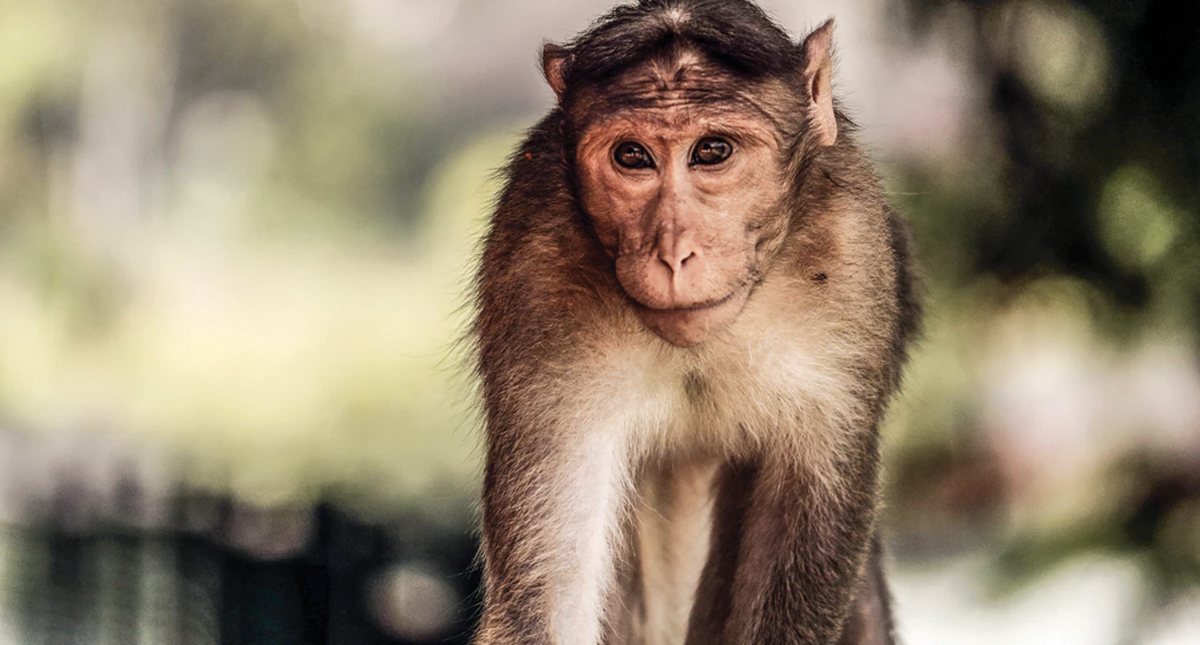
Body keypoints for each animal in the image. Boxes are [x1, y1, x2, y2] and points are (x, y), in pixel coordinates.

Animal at [472, 1, 919, 643]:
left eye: (711, 151)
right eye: (632, 157)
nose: (673, 251)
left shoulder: (852, 258)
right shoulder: (535, 269)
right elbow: (546, 595)